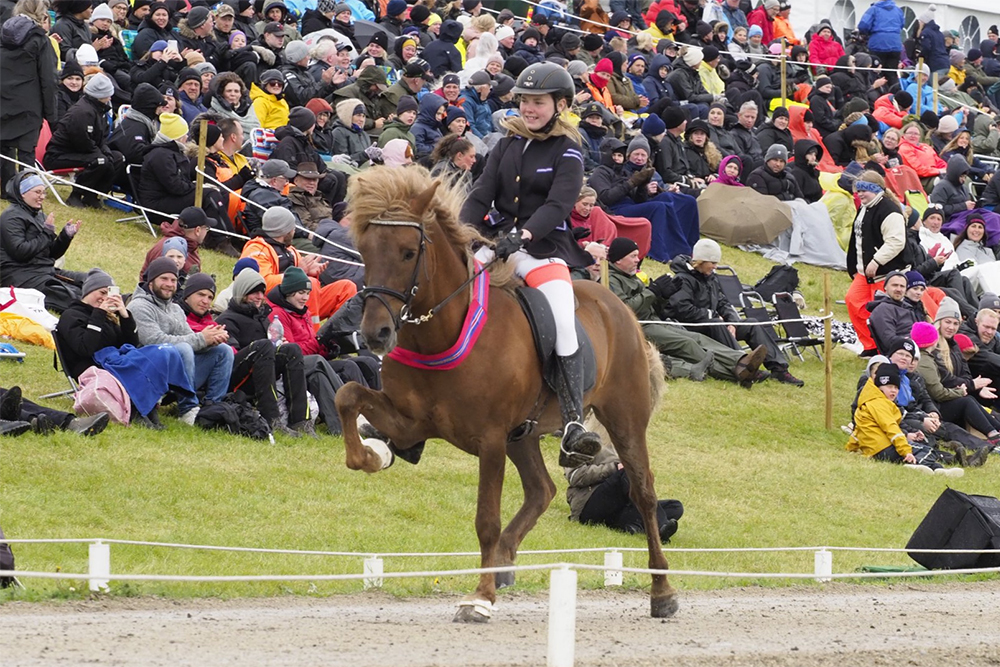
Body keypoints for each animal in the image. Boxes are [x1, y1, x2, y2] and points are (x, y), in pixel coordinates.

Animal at [336, 166, 680, 620]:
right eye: (365, 250)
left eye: (409, 253)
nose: (376, 333)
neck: (441, 332)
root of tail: (618, 305)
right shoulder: (410, 422)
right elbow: (347, 394)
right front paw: (371, 455)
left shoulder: (491, 440)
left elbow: (486, 519)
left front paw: (479, 598)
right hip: (525, 434)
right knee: (542, 490)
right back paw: (503, 564)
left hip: (623, 420)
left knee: (643, 494)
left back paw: (662, 592)